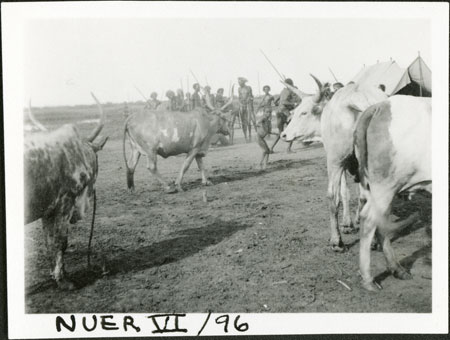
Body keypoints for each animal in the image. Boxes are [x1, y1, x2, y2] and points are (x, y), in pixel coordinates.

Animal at [24, 93, 108, 290]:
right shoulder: (65, 203)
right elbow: (61, 241)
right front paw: (63, 280)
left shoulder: (47, 210)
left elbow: (48, 242)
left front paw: (56, 275)